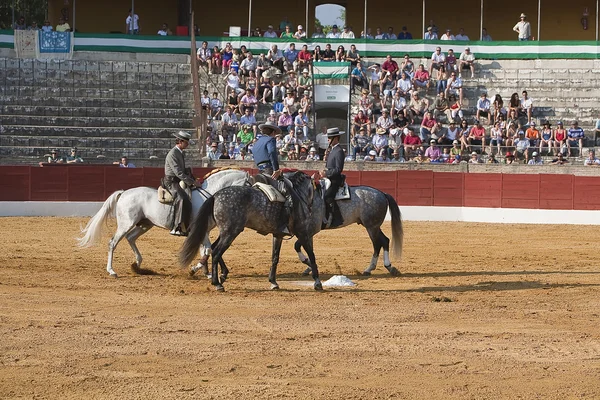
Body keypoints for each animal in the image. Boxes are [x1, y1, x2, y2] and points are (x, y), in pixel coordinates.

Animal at [77, 167, 251, 276]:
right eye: (248, 184)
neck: (209, 196)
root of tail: (124, 192)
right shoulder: (202, 230)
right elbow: (207, 250)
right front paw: (196, 270)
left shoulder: (204, 231)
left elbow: (205, 250)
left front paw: (206, 273)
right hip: (126, 224)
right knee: (113, 242)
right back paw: (112, 271)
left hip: (145, 224)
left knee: (131, 238)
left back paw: (137, 265)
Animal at [179, 171, 324, 290]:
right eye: (314, 190)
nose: (311, 207)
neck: (297, 197)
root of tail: (215, 195)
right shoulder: (303, 234)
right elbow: (312, 255)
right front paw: (317, 282)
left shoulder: (278, 235)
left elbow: (275, 257)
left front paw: (273, 282)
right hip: (231, 232)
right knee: (216, 252)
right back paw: (217, 283)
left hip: (226, 231)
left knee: (214, 248)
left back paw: (222, 275)